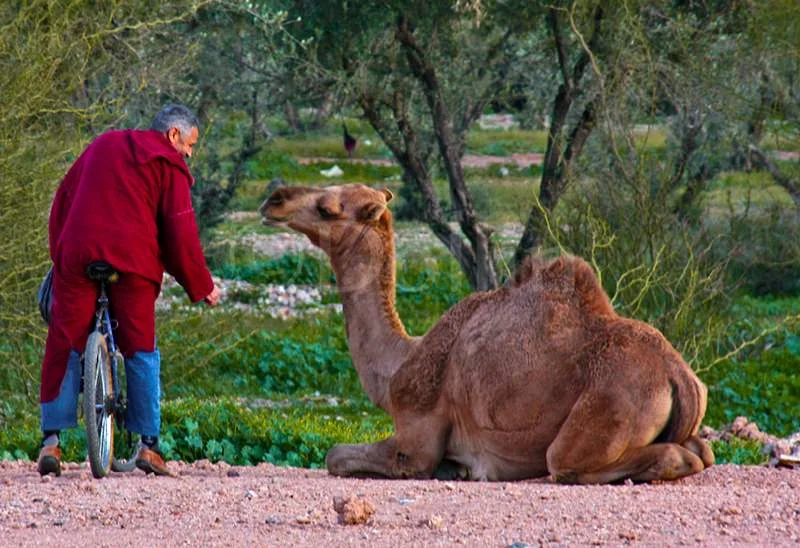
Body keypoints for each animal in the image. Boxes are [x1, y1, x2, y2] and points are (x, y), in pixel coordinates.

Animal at [259, 183, 714, 483]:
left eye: (328, 207)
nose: (274, 197)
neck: (397, 366)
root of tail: (678, 376)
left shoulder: (417, 437)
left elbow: (335, 454)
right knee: (701, 450)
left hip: (608, 407)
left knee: (574, 462)